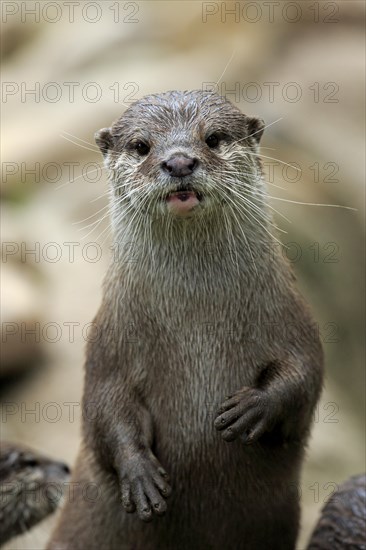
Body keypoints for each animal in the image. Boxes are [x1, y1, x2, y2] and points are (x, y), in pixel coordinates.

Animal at [46, 91, 324, 550]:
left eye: (213, 138)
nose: (178, 161)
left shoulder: (291, 315)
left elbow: (306, 373)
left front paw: (253, 408)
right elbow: (104, 407)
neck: (196, 328)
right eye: (141, 146)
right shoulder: (110, 341)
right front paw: (141, 476)